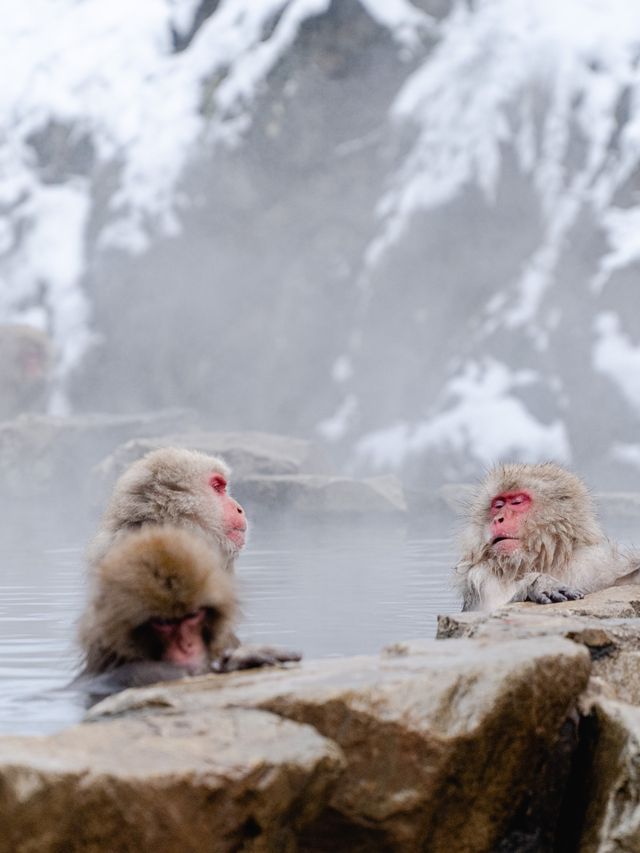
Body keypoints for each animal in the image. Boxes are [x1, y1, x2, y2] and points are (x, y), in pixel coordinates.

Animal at [456, 462, 640, 608]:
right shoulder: (482, 581)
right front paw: (539, 583)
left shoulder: (598, 563)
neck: (544, 560)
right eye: (498, 505)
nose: (498, 519)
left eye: (517, 502)